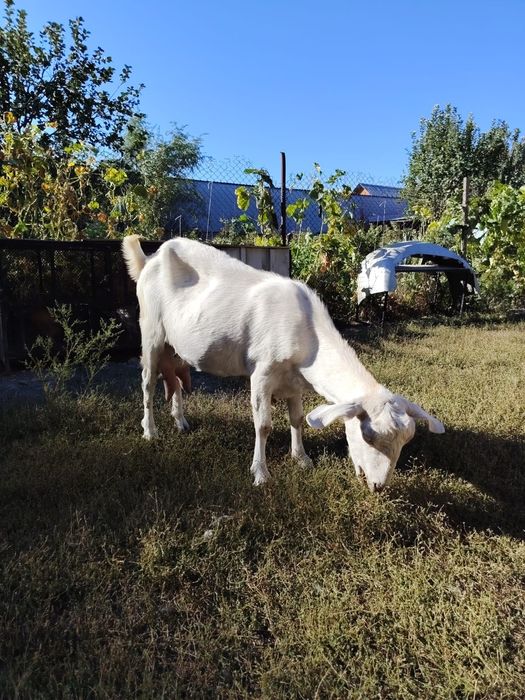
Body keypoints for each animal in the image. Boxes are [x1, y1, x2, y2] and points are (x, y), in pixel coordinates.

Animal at [122, 235, 444, 492]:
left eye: (406, 441)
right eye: (368, 436)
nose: (378, 486)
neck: (307, 330)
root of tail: (149, 259)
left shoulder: (295, 381)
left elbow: (297, 419)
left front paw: (302, 459)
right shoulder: (262, 373)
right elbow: (263, 425)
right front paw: (261, 474)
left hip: (175, 343)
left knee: (176, 378)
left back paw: (180, 422)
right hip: (150, 330)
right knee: (148, 382)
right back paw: (150, 431)